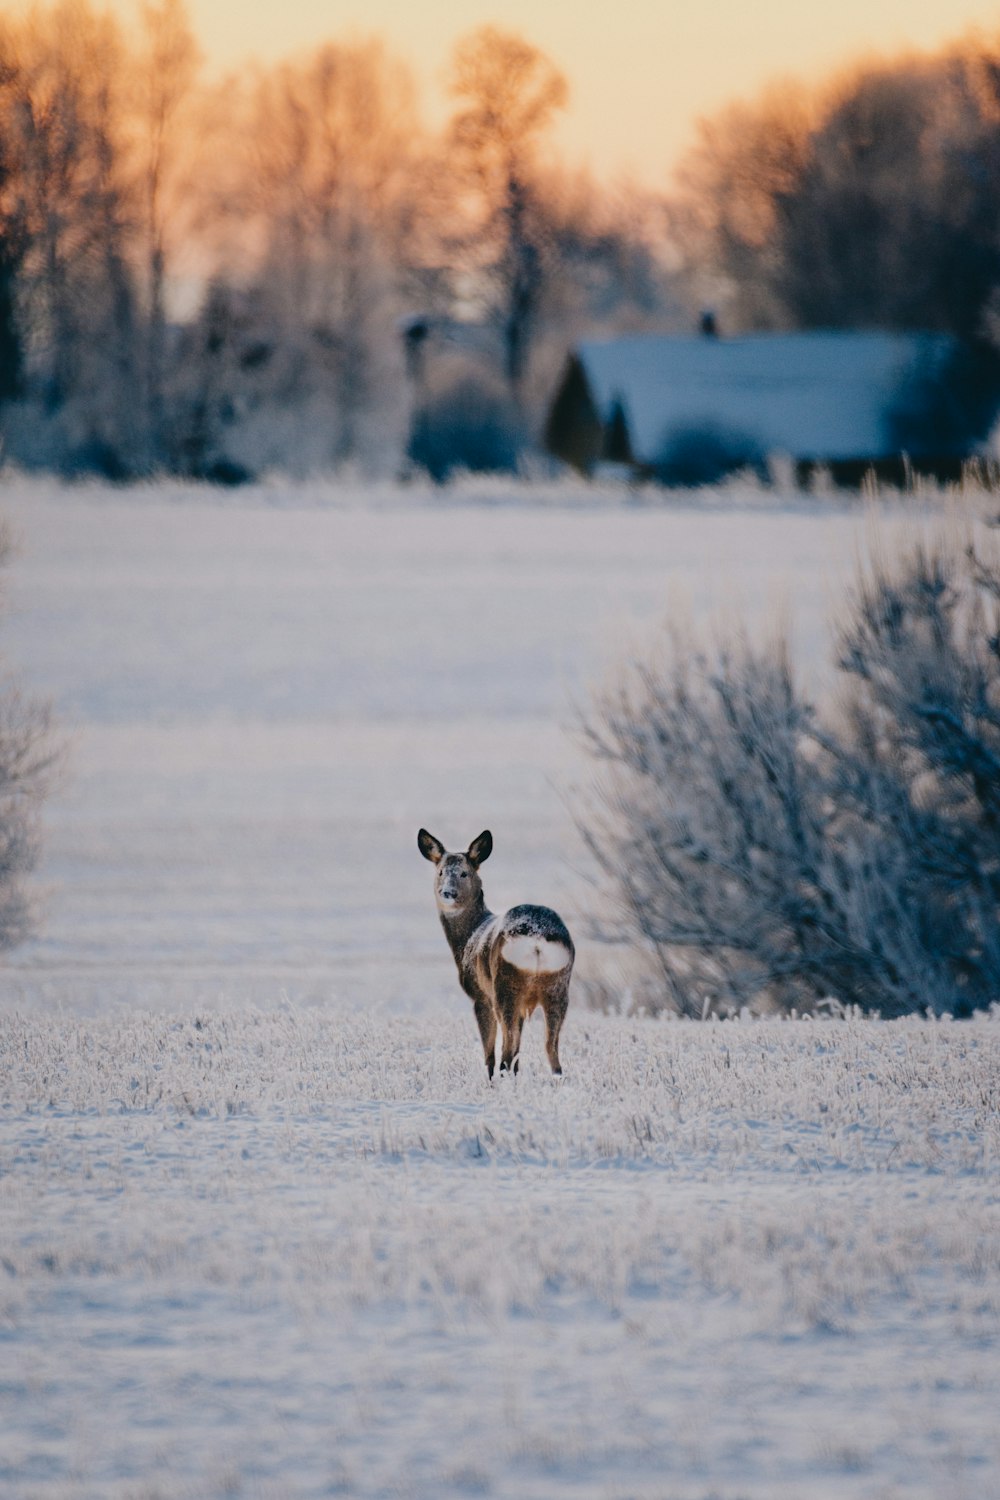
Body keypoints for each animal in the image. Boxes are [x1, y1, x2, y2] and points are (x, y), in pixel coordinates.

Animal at [419, 834, 575, 1080]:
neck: (468, 936)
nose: (447, 893)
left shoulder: (480, 995)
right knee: (551, 1050)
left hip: (505, 985)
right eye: (440, 872)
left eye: (464, 873)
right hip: (558, 986)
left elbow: (489, 1052)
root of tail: (537, 938)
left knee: (507, 1050)